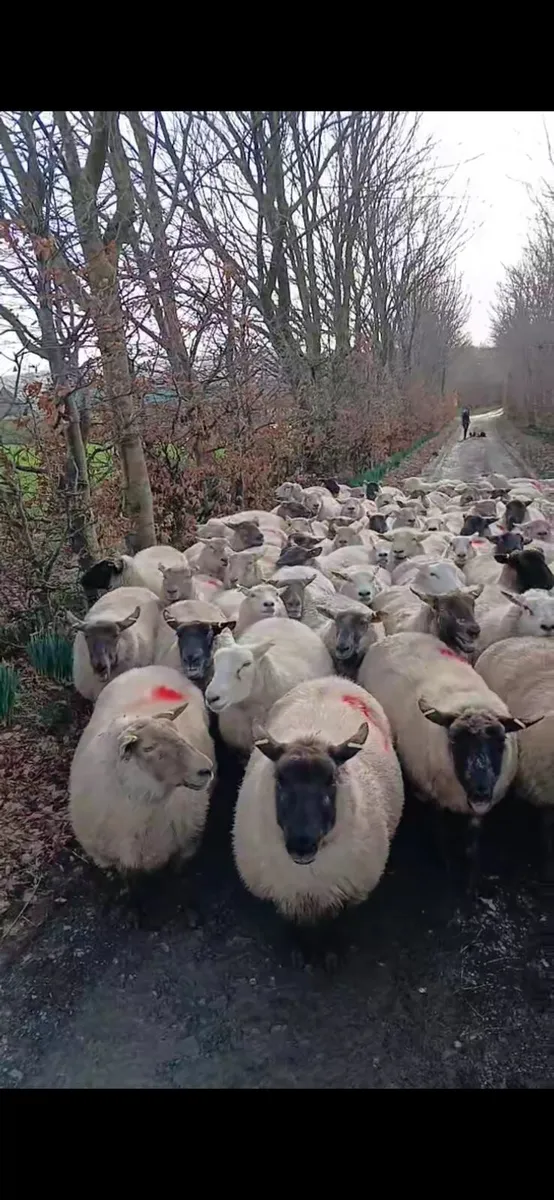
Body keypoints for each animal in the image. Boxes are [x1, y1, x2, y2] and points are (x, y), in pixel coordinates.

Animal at [69, 665, 216, 886]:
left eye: (177, 731)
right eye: (148, 748)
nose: (207, 769)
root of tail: (151, 667)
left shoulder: (184, 849)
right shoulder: (110, 858)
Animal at [232, 675, 404, 964]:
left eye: (331, 780)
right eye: (280, 780)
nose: (302, 844)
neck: (308, 877)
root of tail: (330, 679)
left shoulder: (341, 894)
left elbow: (333, 924)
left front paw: (329, 954)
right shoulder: (288, 895)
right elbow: (293, 924)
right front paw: (300, 952)